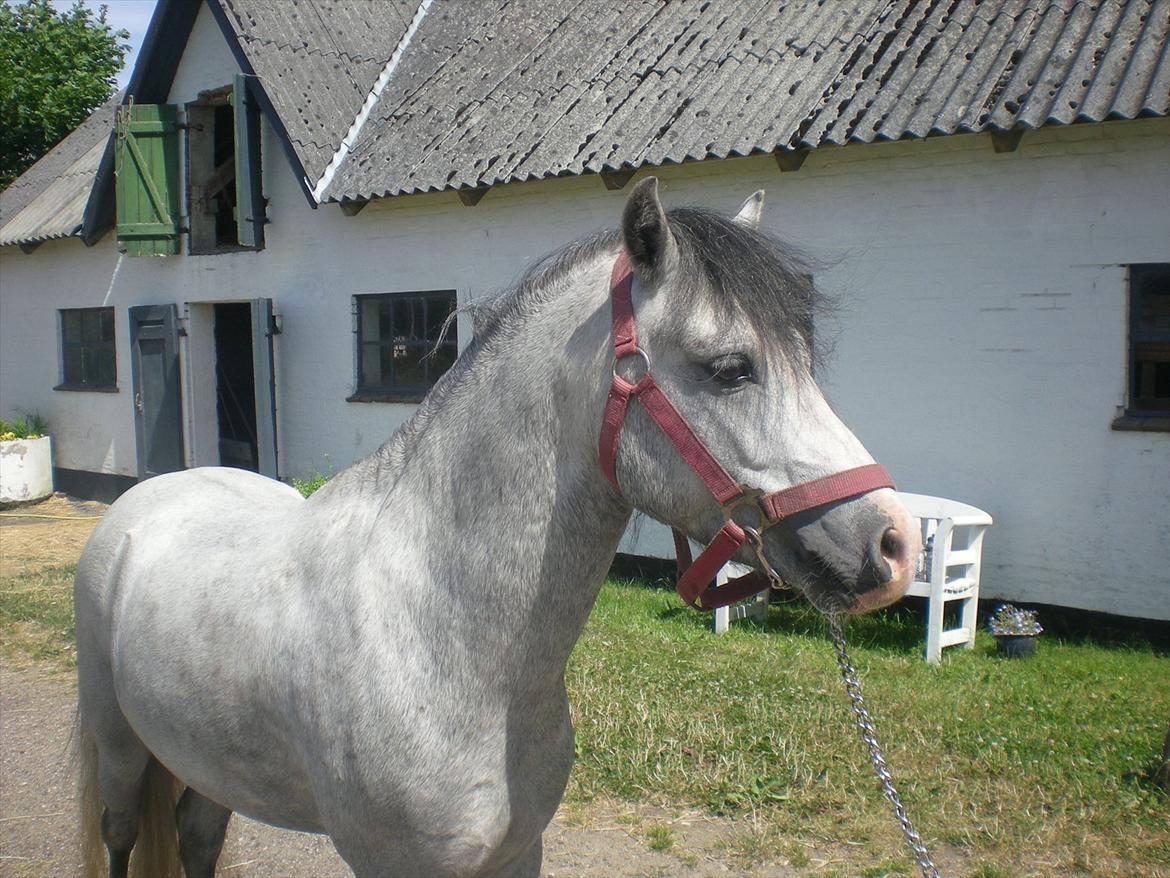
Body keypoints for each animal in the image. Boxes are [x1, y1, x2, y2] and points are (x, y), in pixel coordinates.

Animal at [73, 180, 917, 878]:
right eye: (731, 368)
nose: (893, 546)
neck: (439, 633)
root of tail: (152, 495)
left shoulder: (517, 853)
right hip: (120, 752)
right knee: (121, 839)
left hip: (204, 761)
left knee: (196, 839)